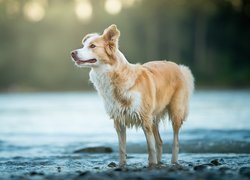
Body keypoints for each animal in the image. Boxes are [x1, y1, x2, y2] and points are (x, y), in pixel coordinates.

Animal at [71, 24, 194, 167]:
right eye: (84, 45)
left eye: (92, 46)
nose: (72, 53)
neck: (115, 76)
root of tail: (178, 66)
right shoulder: (119, 121)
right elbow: (122, 147)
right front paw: (122, 165)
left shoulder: (145, 118)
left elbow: (150, 147)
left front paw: (151, 164)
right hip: (154, 117)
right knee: (159, 142)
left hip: (175, 112)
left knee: (175, 141)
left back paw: (173, 161)